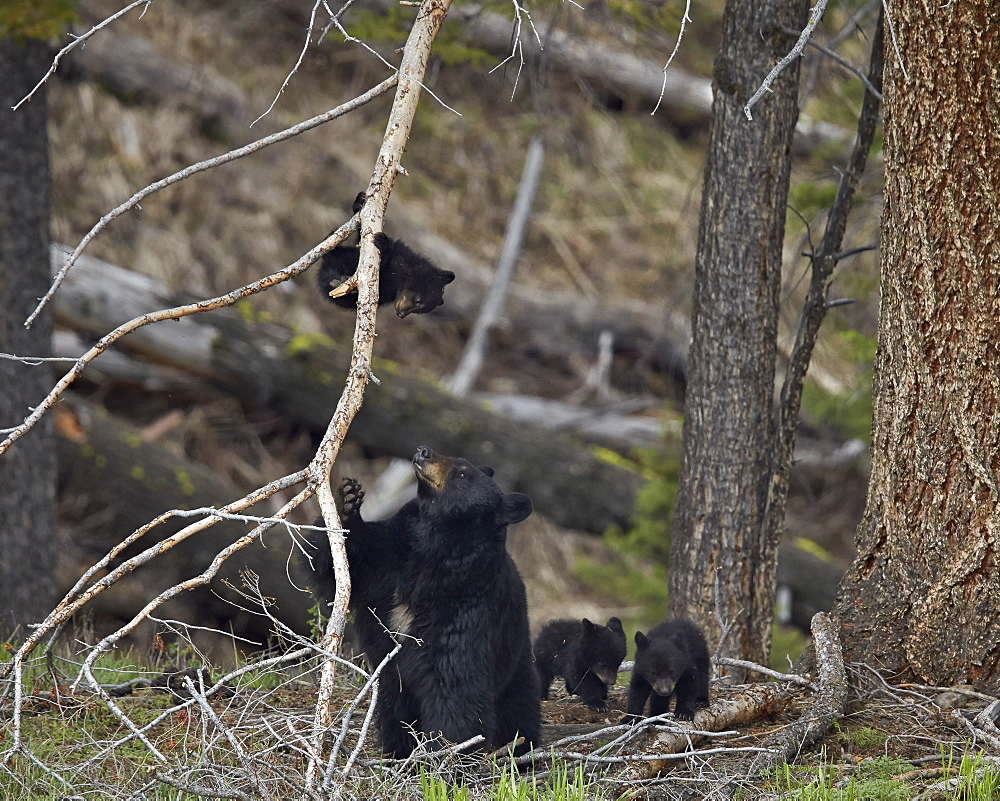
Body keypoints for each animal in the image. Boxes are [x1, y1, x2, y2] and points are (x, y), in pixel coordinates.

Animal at [318, 193, 456, 316]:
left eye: (418, 311)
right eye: (418, 300)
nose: (401, 314)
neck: (400, 277)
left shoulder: (387, 291)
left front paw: (382, 242)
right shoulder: (401, 252)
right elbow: (363, 241)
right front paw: (359, 202)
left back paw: (337, 281)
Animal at [390, 450, 544, 756]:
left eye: (462, 472)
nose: (423, 451)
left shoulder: (467, 615)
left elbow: (455, 687)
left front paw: (447, 750)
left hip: (515, 649)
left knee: (520, 701)